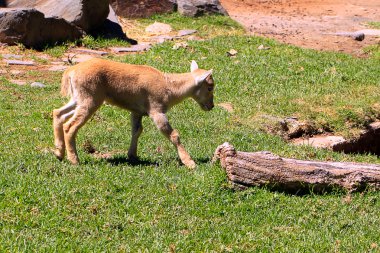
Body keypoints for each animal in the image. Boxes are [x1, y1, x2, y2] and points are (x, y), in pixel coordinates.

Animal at [52, 59, 215, 168]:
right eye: (210, 87)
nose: (211, 106)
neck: (169, 87)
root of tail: (70, 72)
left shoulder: (137, 111)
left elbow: (137, 130)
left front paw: (132, 156)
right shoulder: (156, 110)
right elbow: (173, 134)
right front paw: (190, 163)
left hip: (78, 98)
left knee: (58, 113)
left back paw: (59, 153)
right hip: (90, 100)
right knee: (70, 126)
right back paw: (74, 160)